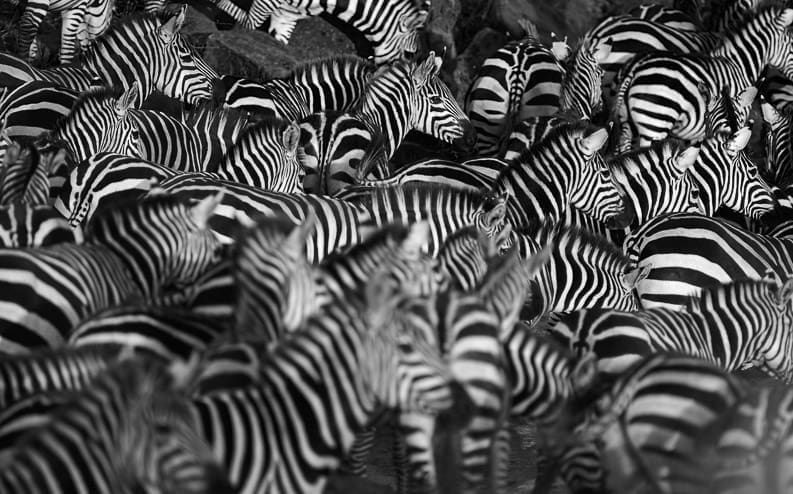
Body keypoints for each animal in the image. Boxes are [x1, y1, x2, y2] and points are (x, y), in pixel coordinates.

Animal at [614, 6, 793, 148]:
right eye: (792, 46)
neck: (738, 64)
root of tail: (636, 67)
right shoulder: (737, 115)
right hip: (653, 125)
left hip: (627, 126)